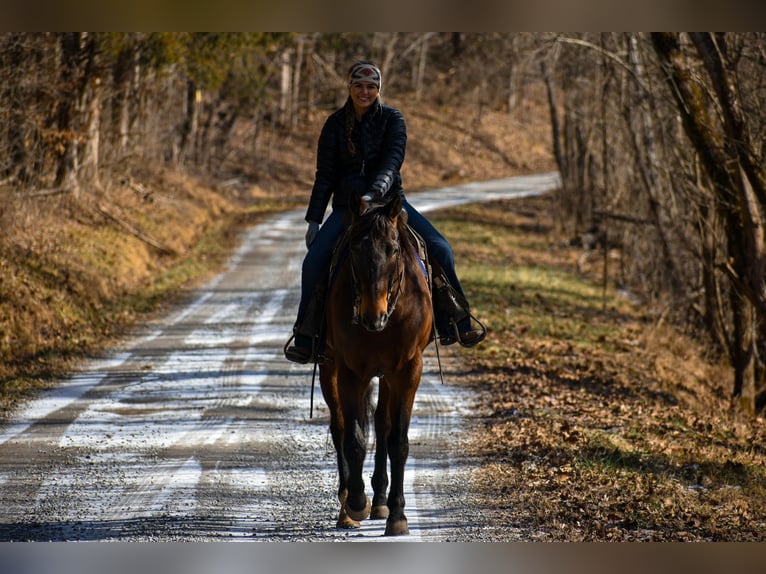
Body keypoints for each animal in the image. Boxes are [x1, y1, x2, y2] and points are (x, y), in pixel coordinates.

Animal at [320, 194, 436, 540]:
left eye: (393, 249)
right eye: (355, 249)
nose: (374, 316)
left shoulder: (408, 370)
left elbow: (398, 440)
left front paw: (397, 515)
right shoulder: (350, 371)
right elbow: (355, 439)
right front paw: (358, 502)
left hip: (388, 375)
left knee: (383, 424)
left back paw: (382, 500)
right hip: (330, 368)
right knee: (339, 426)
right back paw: (347, 508)